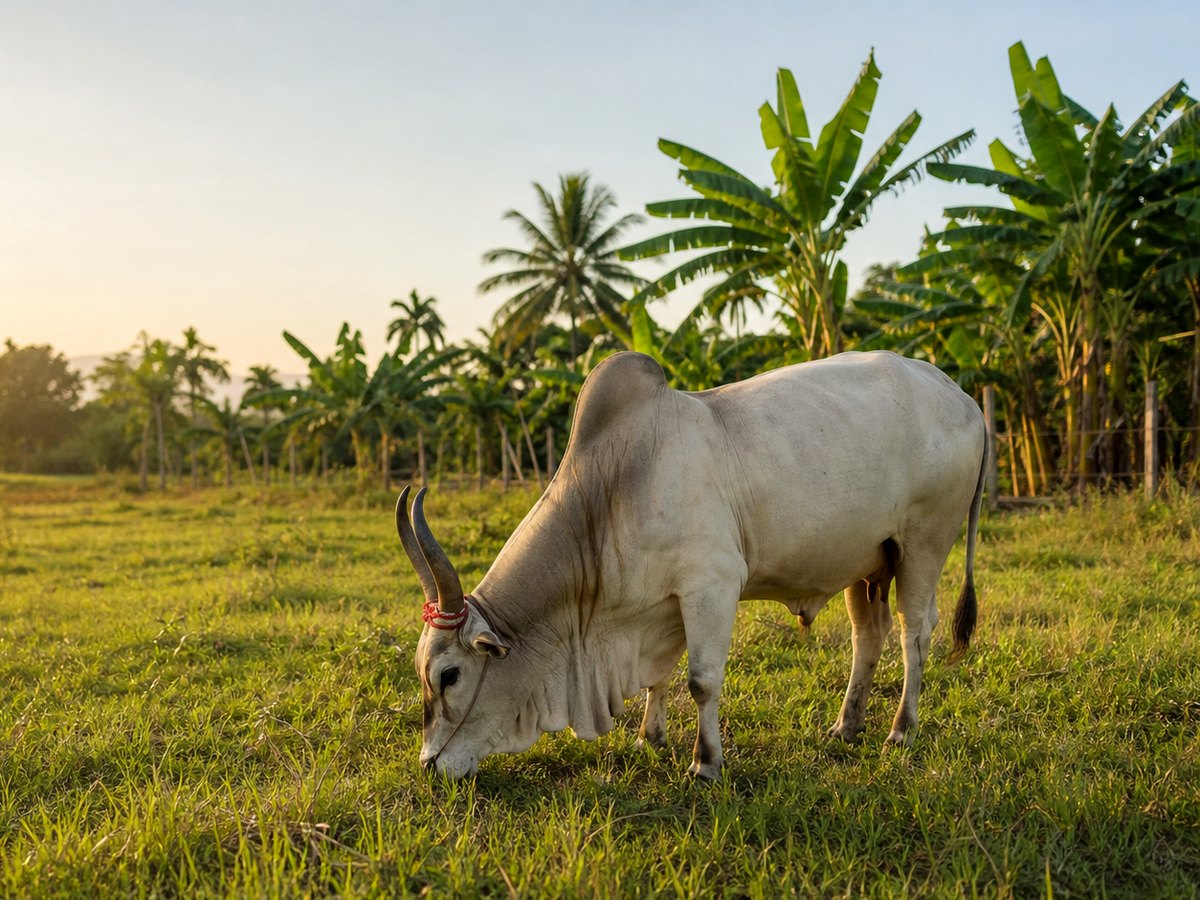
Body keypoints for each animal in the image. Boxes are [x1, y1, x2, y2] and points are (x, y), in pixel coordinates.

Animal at [396, 350, 986, 780]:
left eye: (449, 675)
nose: (429, 766)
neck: (611, 492)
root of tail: (961, 396)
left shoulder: (712, 586)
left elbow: (701, 681)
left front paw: (705, 764)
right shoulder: (661, 605)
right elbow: (658, 677)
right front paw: (648, 738)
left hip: (923, 544)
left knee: (915, 634)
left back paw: (900, 730)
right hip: (867, 562)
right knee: (870, 636)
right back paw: (846, 725)